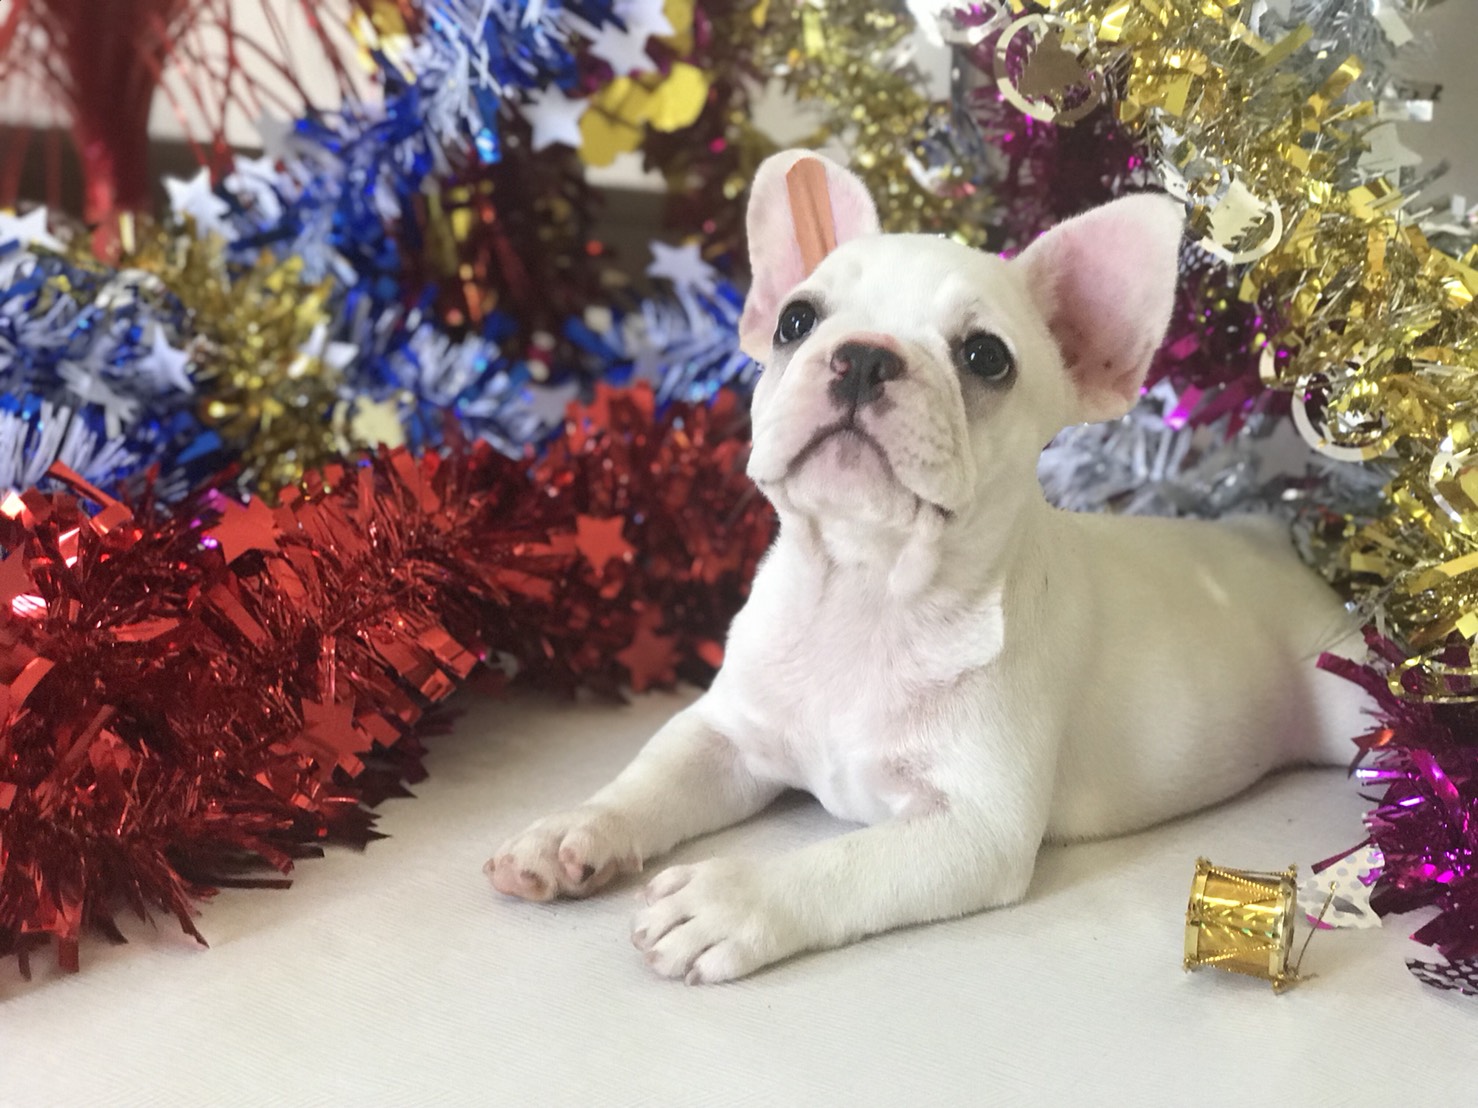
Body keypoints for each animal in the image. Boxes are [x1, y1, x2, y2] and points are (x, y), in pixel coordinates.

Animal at [486, 150, 1369, 984]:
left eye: (985, 356)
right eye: (795, 320)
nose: (863, 358)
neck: (864, 587)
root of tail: (1262, 533)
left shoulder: (972, 829)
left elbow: (842, 863)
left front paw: (729, 899)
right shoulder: (725, 735)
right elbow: (649, 778)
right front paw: (573, 829)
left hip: (1343, 702)